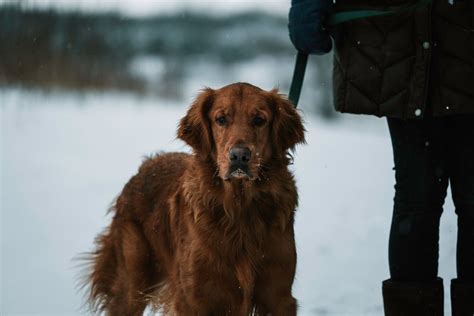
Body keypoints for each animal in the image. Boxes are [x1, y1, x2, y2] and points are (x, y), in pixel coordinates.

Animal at [83, 82, 306, 314]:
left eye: (259, 119)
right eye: (221, 119)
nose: (239, 156)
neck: (240, 207)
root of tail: (146, 165)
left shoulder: (278, 297)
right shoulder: (194, 299)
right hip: (130, 284)